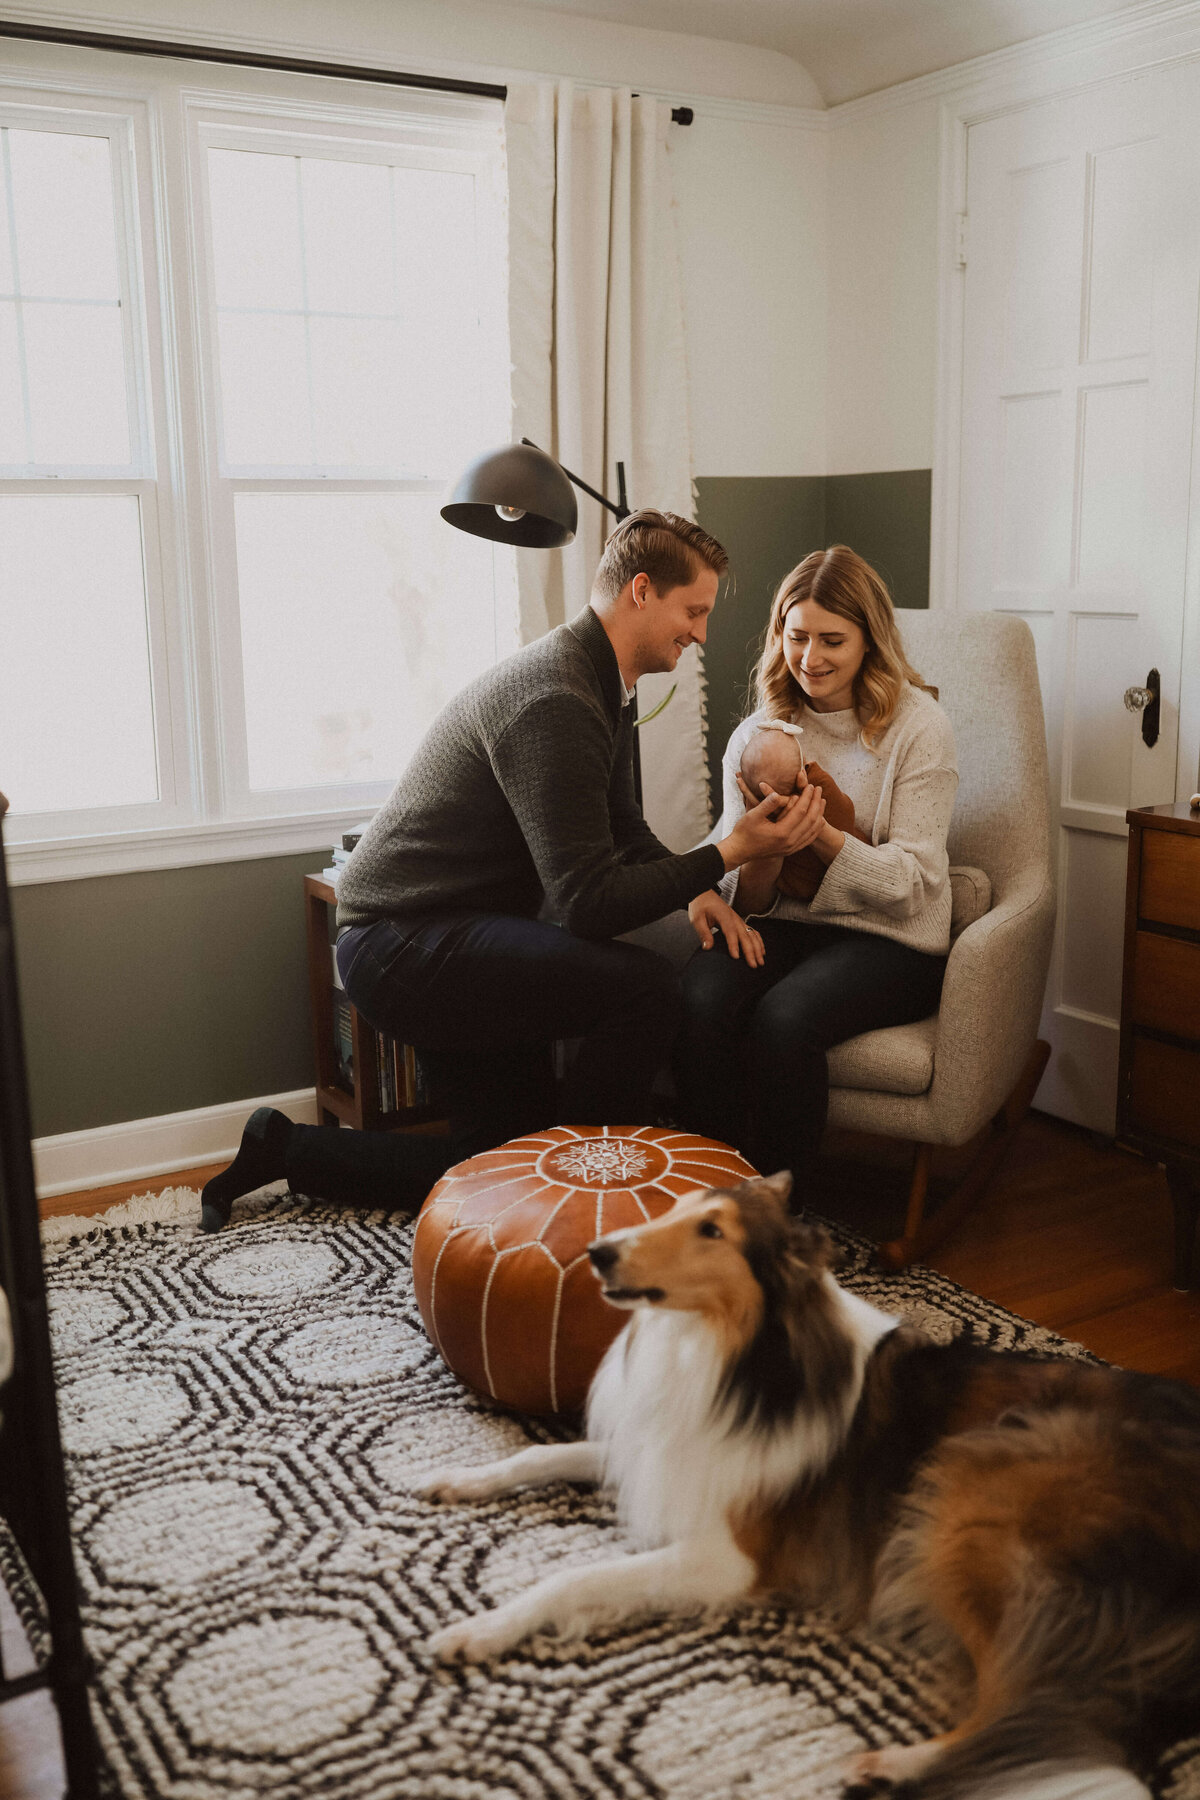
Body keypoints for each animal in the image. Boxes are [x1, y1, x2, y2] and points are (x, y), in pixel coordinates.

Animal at [415, 1173, 1200, 1792]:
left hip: (968, 1494)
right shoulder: (657, 1446)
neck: (732, 1353)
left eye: (711, 1230)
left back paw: (898, 1764)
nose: (597, 1251)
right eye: (676, 1210)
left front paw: (479, 1631)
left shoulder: (731, 1557)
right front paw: (454, 1479)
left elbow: (575, 1579)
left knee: (1028, 1698)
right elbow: (534, 1458)